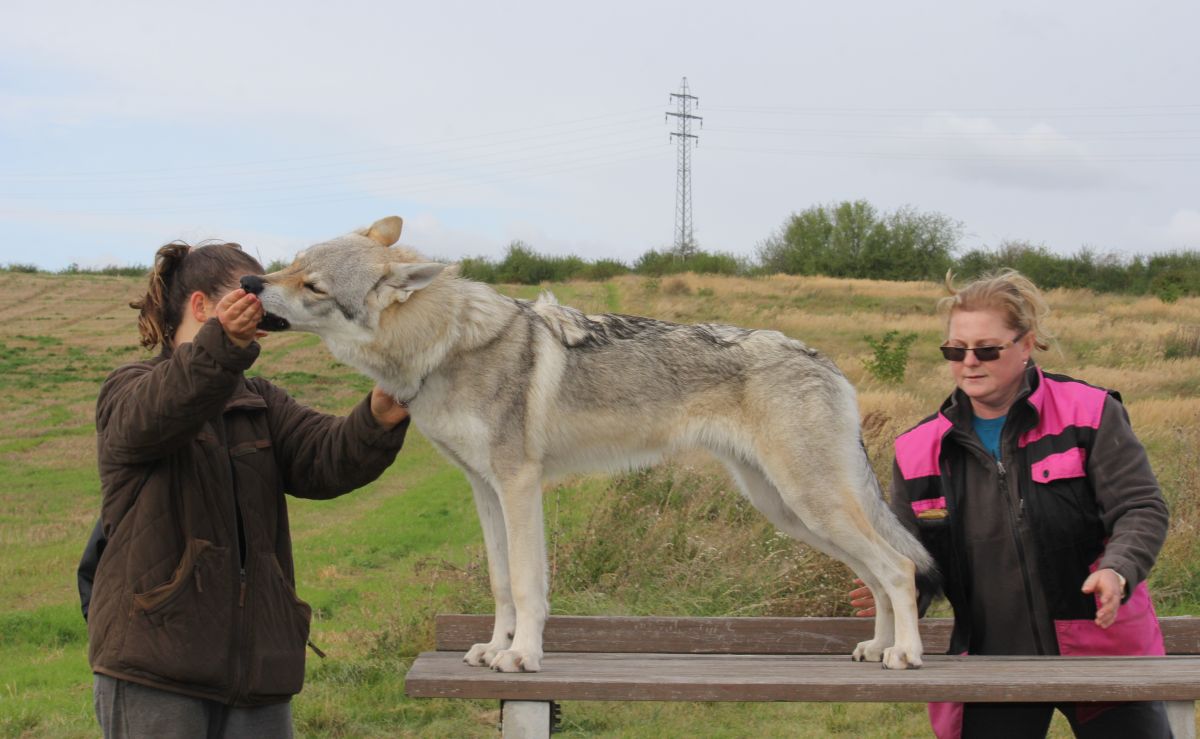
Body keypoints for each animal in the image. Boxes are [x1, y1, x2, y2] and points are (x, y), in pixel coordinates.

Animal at [246, 215, 936, 671]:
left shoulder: (519, 484)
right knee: (875, 577)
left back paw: (905, 654)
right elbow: (501, 582)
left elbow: (529, 584)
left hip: (809, 503)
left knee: (898, 568)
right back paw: (877, 647)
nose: (251, 285)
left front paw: (523, 656)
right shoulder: (484, 492)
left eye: (312, 285)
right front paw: (493, 647)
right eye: (290, 264)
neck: (444, 344)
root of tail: (829, 363)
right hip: (789, 511)